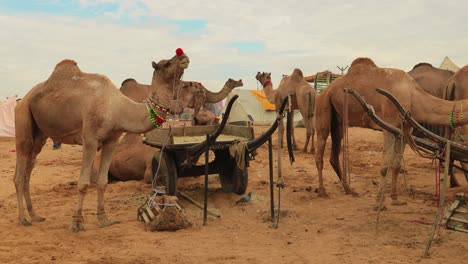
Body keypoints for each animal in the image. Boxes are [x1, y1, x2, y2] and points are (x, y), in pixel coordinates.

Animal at [14, 49, 190, 231]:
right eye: (166, 63)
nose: (183, 57)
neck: (117, 108)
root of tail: (24, 99)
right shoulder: (90, 139)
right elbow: (84, 183)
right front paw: (76, 223)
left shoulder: (111, 141)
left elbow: (102, 181)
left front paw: (103, 219)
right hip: (22, 119)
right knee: (19, 171)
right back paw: (23, 219)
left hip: (40, 134)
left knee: (28, 169)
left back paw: (35, 215)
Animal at [314, 57, 468, 208]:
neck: (413, 96)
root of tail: (325, 90)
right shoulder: (389, 125)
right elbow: (385, 166)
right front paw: (378, 203)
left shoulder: (404, 129)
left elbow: (396, 165)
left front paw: (395, 199)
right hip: (323, 106)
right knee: (320, 150)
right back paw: (322, 191)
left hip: (338, 120)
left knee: (334, 154)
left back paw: (349, 190)